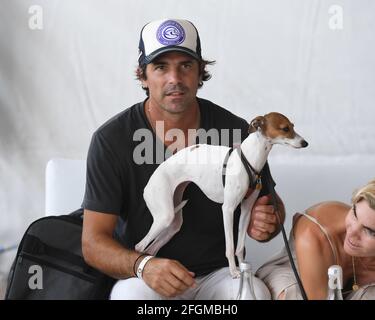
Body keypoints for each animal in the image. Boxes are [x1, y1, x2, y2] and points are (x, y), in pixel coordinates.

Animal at [135, 112, 308, 278]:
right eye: (285, 128)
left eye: (293, 126)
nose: (305, 143)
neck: (248, 160)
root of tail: (150, 182)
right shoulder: (228, 210)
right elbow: (230, 248)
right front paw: (233, 272)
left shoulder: (246, 210)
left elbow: (239, 247)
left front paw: (244, 271)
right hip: (165, 216)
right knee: (140, 246)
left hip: (174, 223)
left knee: (151, 249)